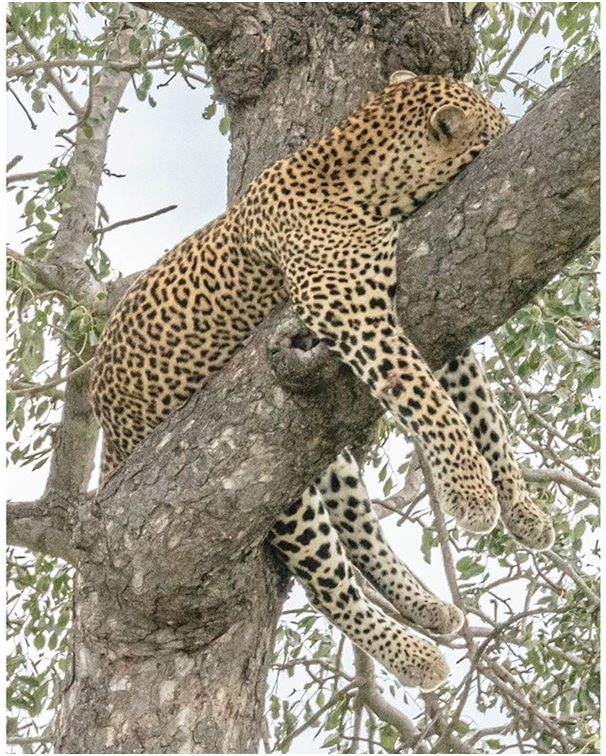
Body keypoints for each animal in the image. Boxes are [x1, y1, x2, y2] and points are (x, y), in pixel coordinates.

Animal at [92, 71, 560, 692]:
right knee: (328, 587)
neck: (354, 178)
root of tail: (112, 439)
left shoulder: (426, 305)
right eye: (496, 131)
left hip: (321, 463)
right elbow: (428, 399)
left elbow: (481, 411)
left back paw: (428, 609)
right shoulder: (350, 310)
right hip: (272, 490)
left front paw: (520, 507)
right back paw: (416, 656)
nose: (515, 134)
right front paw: (472, 494)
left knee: (363, 538)